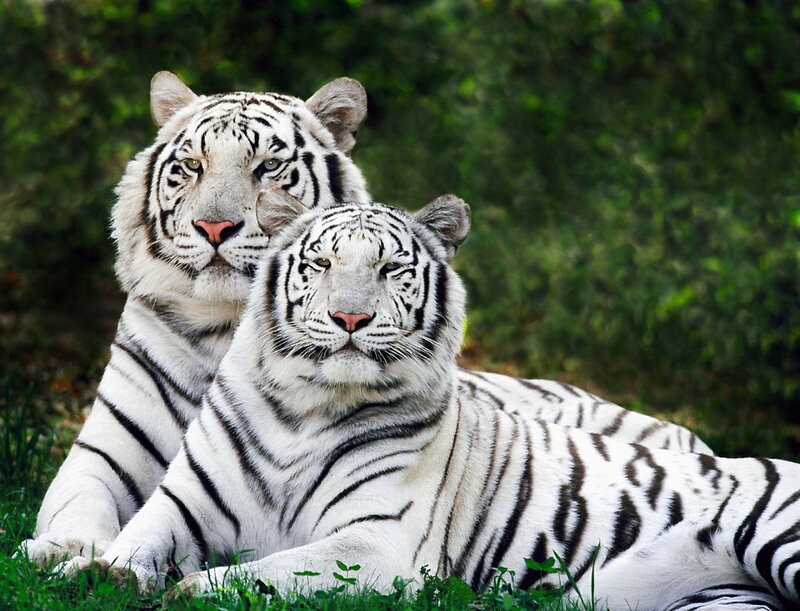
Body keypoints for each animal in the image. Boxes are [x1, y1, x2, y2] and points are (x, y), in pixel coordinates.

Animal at [20, 72, 710, 568]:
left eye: (268, 168)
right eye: (191, 166)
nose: (215, 227)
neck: (224, 327)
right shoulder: (102, 454)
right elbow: (78, 504)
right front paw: (62, 550)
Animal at [65, 192, 798, 610]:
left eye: (390, 269)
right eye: (320, 264)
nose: (351, 318)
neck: (304, 407)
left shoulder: (378, 541)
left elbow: (273, 568)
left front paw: (193, 589)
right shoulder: (184, 503)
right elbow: (135, 540)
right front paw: (91, 570)